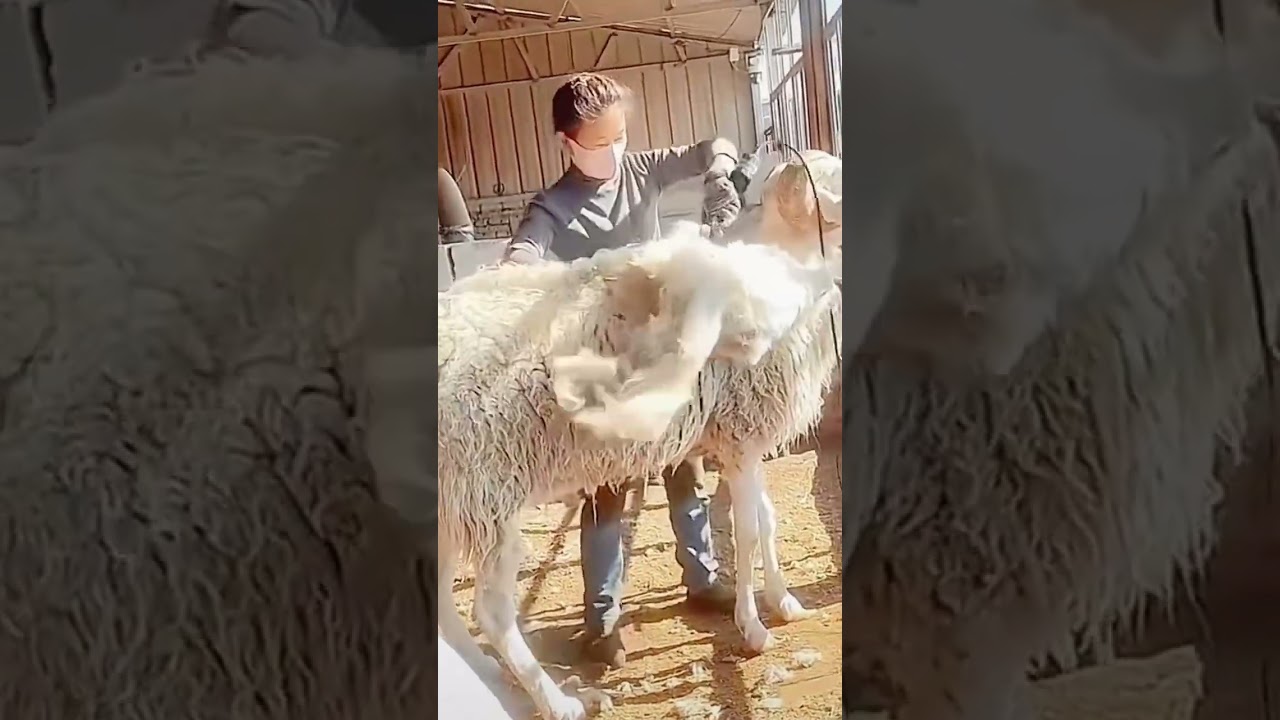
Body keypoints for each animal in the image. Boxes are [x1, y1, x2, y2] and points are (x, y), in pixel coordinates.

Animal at [436, 223, 842, 720]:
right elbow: (747, 532)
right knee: (491, 612)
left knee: (444, 607)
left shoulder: (739, 439)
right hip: (483, 492)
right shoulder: (741, 432)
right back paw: (559, 701)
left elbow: (766, 521)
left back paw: (495, 679)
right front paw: (753, 627)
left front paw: (785, 602)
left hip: (449, 506)